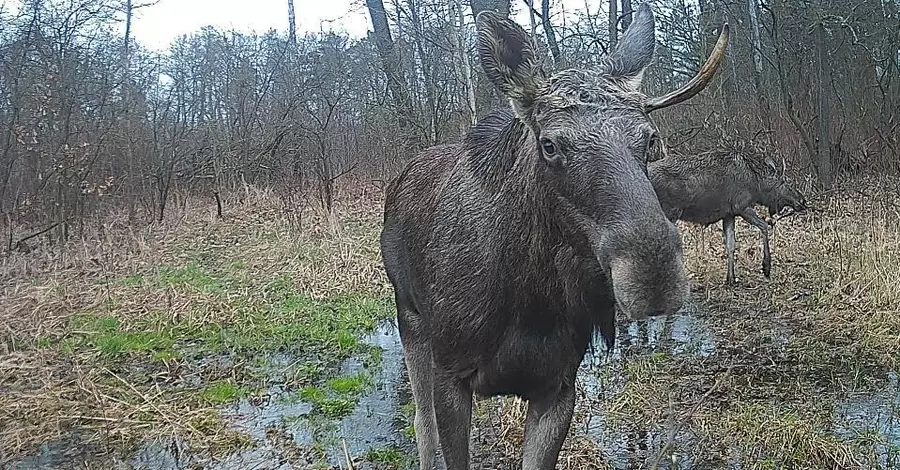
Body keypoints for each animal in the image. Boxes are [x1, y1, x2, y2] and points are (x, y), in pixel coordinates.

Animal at [380, 4, 732, 470]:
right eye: (549, 145)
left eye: (649, 138)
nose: (654, 275)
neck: (530, 300)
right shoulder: (451, 375)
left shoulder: (559, 387)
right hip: (411, 320)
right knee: (422, 426)